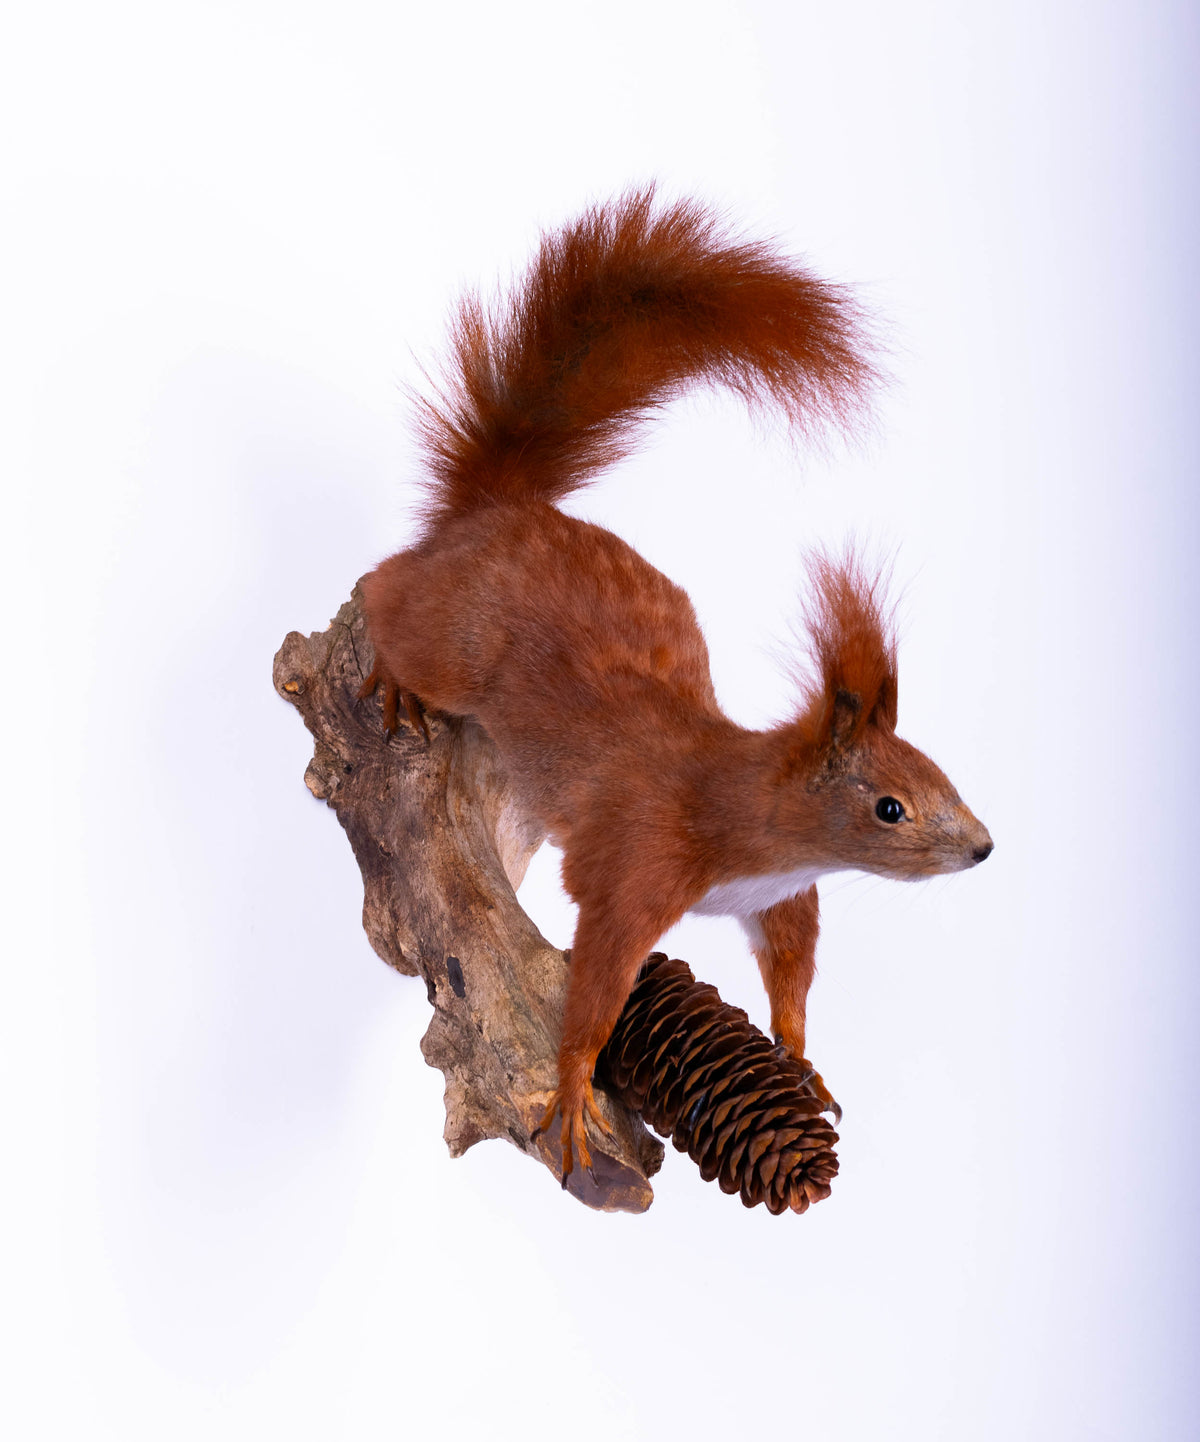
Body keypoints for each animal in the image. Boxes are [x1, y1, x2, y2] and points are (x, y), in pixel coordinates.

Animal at [359, 188, 993, 1183]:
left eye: (943, 775)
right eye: (890, 807)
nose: (982, 849)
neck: (748, 811)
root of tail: (504, 514)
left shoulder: (778, 898)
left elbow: (792, 972)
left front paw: (800, 1059)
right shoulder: (637, 866)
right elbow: (600, 979)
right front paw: (575, 1082)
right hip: (452, 643)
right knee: (385, 587)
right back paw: (388, 669)